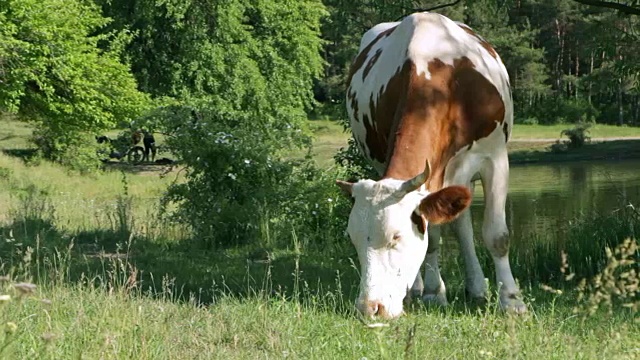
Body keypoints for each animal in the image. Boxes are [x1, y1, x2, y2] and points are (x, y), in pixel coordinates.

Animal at [336, 12, 524, 320]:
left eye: (396, 237)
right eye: (353, 239)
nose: (369, 308)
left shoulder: (495, 157)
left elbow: (497, 235)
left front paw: (512, 302)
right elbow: (432, 236)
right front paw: (435, 293)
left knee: (462, 223)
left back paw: (477, 288)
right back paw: (421, 289)